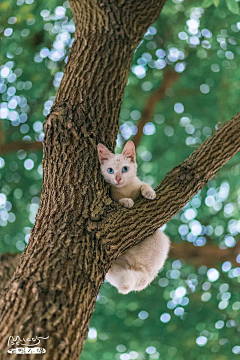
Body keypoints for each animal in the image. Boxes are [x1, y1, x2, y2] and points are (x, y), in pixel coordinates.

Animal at [96, 139, 170, 294]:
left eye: (125, 169)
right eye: (110, 170)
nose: (118, 179)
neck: (125, 189)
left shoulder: (138, 183)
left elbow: (144, 185)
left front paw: (149, 193)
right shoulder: (112, 197)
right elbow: (118, 200)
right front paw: (127, 201)